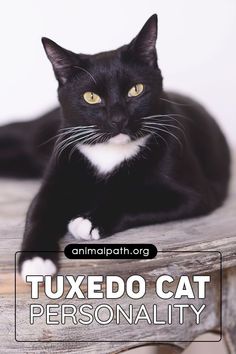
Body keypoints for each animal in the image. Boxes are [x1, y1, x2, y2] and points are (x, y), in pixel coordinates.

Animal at [0, 13, 230, 280]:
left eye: (135, 90)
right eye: (91, 97)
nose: (118, 119)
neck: (109, 152)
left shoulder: (195, 193)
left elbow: (138, 199)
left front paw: (89, 221)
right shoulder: (57, 176)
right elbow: (38, 214)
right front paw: (36, 260)